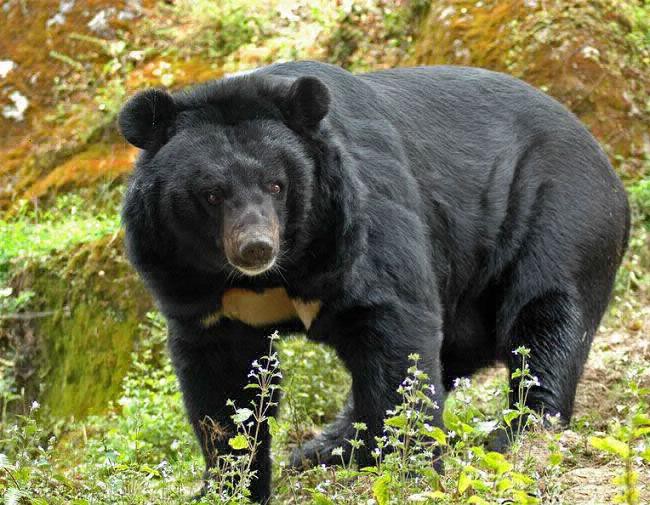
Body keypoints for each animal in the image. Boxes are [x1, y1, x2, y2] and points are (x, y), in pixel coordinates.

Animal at [118, 61, 630, 503]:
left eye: (277, 185)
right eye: (211, 194)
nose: (255, 248)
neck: (274, 276)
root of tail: (606, 161)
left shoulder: (358, 221)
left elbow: (395, 330)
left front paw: (411, 470)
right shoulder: (187, 280)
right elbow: (222, 387)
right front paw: (229, 487)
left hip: (561, 215)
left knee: (545, 319)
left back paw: (518, 432)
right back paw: (325, 448)